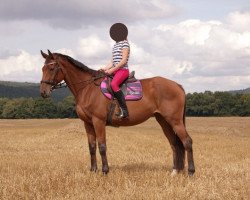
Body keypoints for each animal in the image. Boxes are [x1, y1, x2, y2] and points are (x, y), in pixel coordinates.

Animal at [39, 49, 195, 175]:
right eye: (42, 68)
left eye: (52, 67)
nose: (43, 92)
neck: (87, 89)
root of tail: (177, 85)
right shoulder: (87, 124)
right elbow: (91, 147)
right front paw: (93, 170)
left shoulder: (98, 121)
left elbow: (102, 146)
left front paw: (105, 171)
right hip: (163, 120)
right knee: (174, 144)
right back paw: (175, 171)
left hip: (175, 120)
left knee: (187, 141)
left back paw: (191, 172)